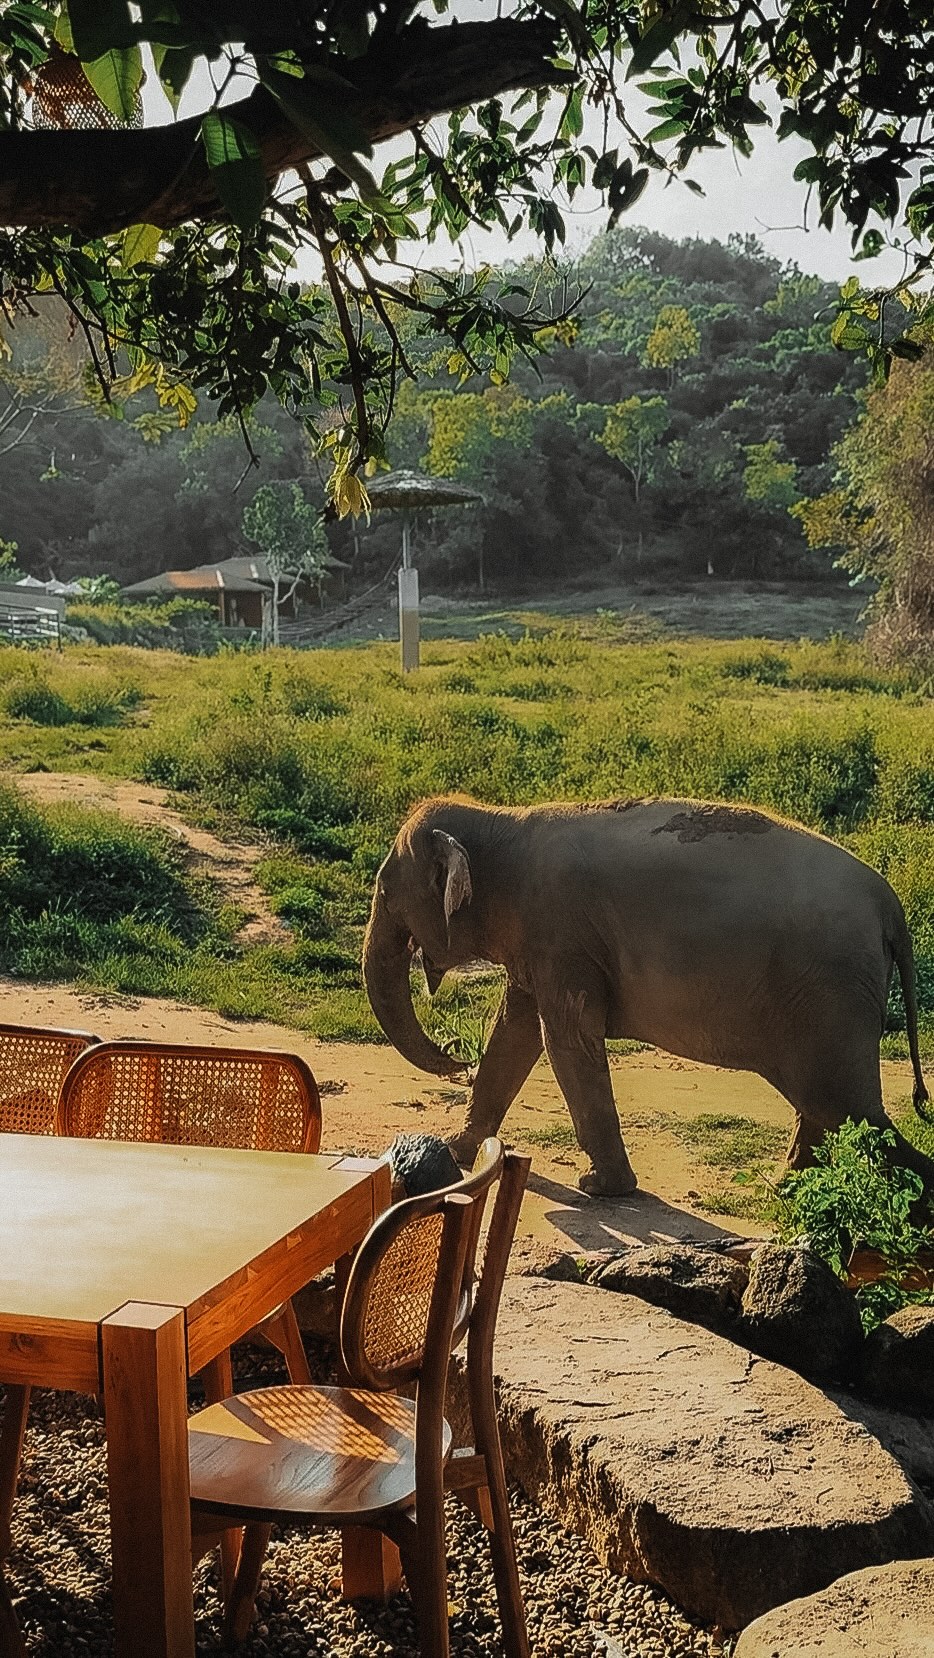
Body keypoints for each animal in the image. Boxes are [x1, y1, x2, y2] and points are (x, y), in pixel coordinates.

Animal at [362, 793, 933, 1198]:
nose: (456, 1057)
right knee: (829, 1108)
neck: (501, 820)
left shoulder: (561, 933)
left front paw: (599, 1189)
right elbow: (515, 1031)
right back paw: (788, 1185)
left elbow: (564, 1038)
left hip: (832, 994)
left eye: (386, 894)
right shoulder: (540, 943)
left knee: (854, 1114)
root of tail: (891, 907)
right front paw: (460, 1148)